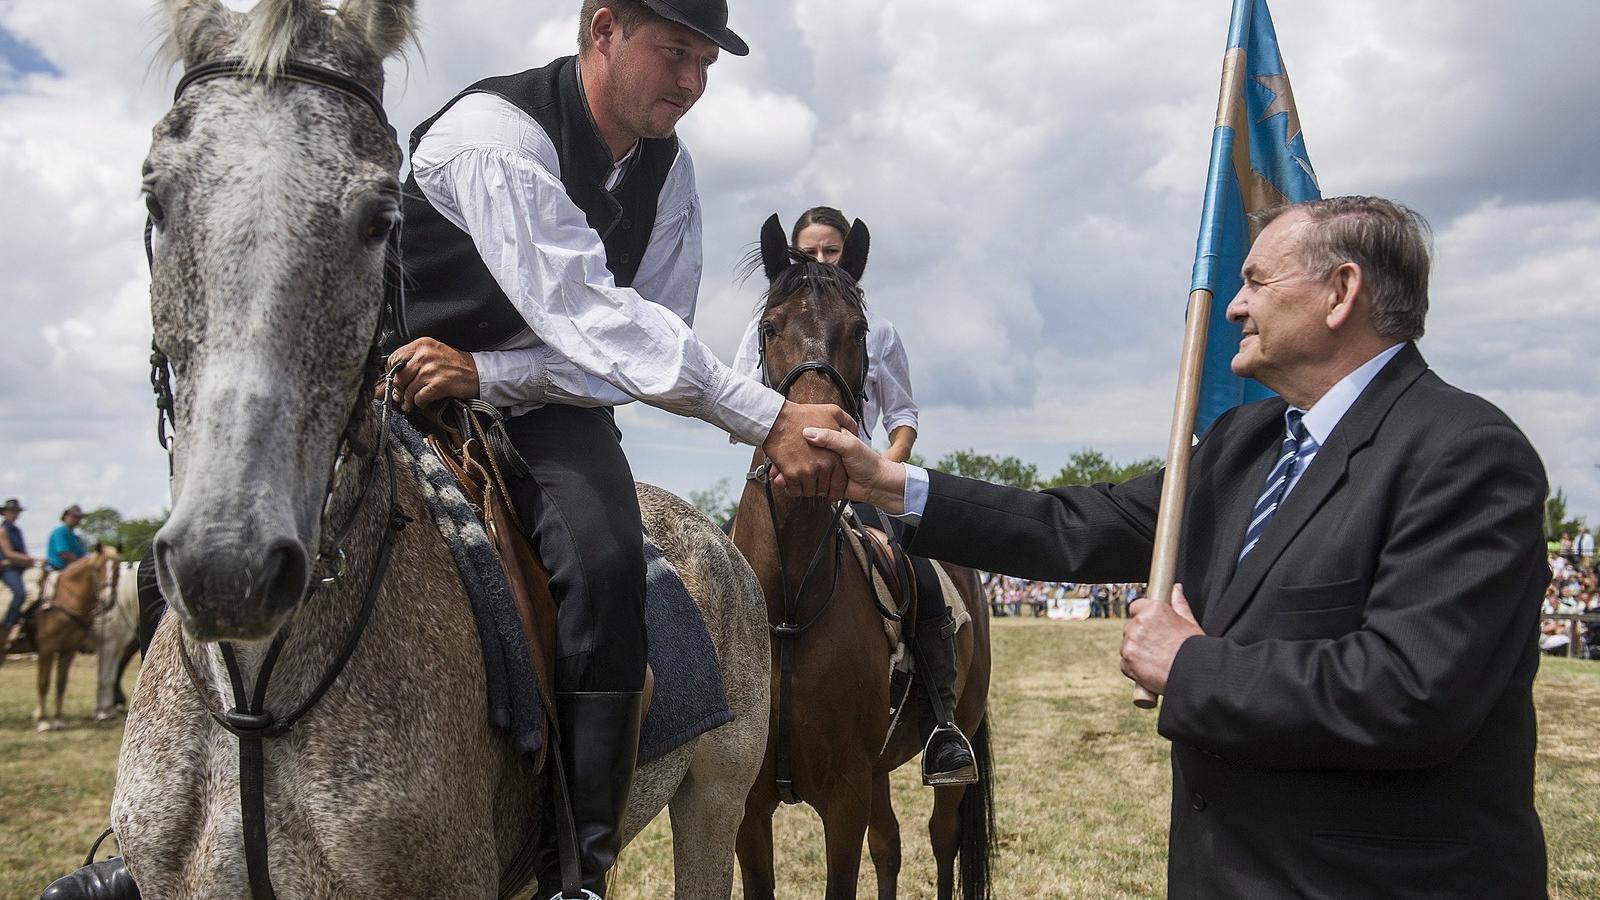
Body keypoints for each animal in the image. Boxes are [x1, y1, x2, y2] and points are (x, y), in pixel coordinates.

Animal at [16, 544, 120, 723]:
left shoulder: (68, 650)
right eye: (97, 569)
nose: (108, 600)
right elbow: (43, 682)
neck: (64, 601)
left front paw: (58, 719)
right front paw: (43, 720)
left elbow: (61, 683)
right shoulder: (46, 649)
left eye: (117, 568)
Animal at [732, 216, 985, 896]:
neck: (789, 608)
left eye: (860, 330)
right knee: (890, 845)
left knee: (942, 839)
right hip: (876, 773)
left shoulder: (842, 799)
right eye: (771, 326)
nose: (814, 452)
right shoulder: (747, 807)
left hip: (954, 739)